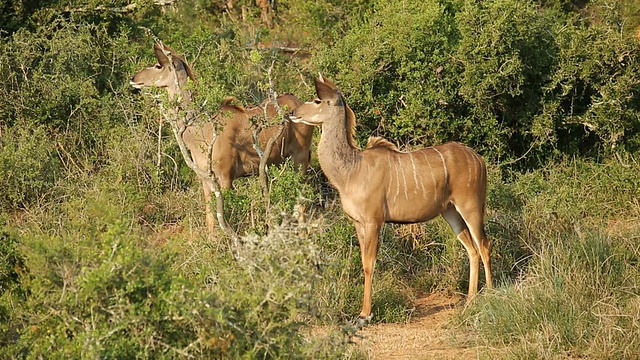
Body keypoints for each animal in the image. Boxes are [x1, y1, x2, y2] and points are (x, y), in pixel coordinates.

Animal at [129, 43, 314, 231]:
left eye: (158, 65)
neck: (201, 128)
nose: (133, 77)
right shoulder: (205, 179)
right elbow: (210, 219)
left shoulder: (225, 177)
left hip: (300, 159)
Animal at [292, 76, 496, 320]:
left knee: (484, 245)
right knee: (472, 249)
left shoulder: (374, 221)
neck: (351, 171)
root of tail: (479, 159)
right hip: (451, 211)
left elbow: (369, 263)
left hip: (471, 206)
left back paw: (491, 295)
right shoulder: (358, 222)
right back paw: (470, 300)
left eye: (316, 100)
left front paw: (366, 313)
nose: (292, 112)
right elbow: (363, 261)